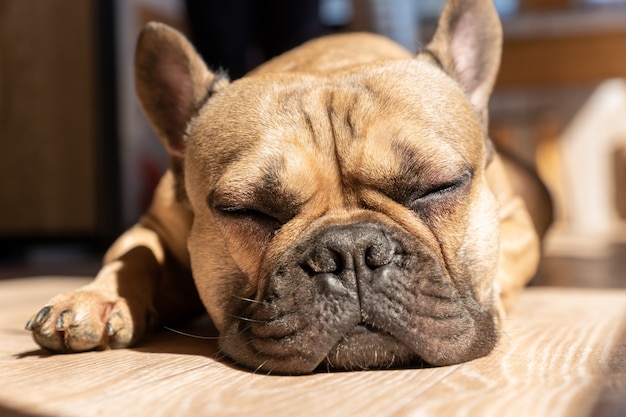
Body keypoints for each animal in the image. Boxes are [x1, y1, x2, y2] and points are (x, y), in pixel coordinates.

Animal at [26, 0, 548, 374]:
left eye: (437, 188)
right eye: (246, 211)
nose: (351, 251)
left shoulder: (517, 223)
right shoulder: (156, 225)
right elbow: (131, 255)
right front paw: (94, 299)